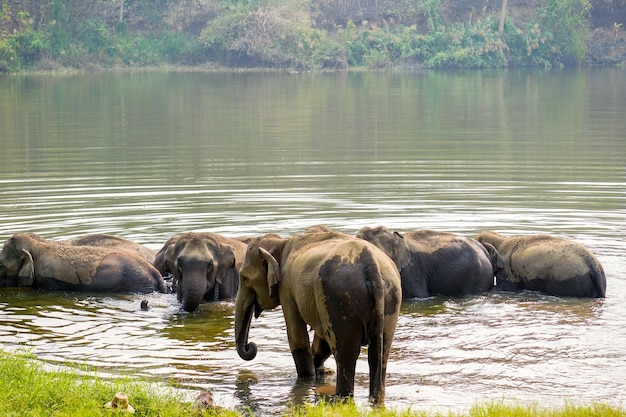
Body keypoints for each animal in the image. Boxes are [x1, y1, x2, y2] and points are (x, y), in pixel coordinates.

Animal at [234, 228, 400, 404]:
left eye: (244, 278)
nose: (251, 346)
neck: (281, 243)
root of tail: (371, 264)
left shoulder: (287, 289)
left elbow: (297, 337)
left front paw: (307, 378)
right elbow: (322, 340)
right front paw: (321, 372)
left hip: (339, 298)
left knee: (345, 354)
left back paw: (341, 398)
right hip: (389, 300)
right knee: (380, 352)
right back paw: (375, 399)